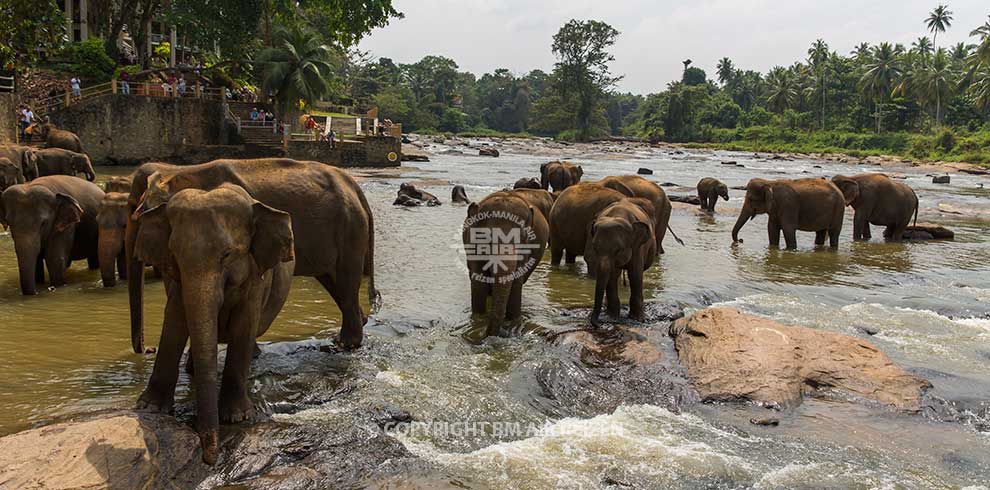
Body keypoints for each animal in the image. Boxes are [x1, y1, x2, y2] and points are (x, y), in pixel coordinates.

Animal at [125, 159, 380, 354]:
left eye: (135, 211)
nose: (149, 349)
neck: (179, 170)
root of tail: (355, 187)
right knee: (333, 282)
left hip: (350, 231)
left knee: (345, 281)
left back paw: (342, 345)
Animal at [136, 183, 298, 464]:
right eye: (174, 255)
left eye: (227, 254)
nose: (209, 459)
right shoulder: (177, 282)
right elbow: (175, 321)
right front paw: (150, 408)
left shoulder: (254, 277)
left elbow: (244, 326)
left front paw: (236, 417)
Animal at [464, 189, 552, 336]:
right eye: (486, 237)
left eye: (522, 238)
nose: (484, 333)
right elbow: (478, 281)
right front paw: (478, 319)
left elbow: (516, 280)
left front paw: (513, 322)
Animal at [588, 197, 660, 328]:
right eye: (595, 248)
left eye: (618, 250)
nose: (599, 324)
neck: (617, 215)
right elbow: (612, 275)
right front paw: (612, 317)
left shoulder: (637, 247)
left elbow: (635, 274)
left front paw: (638, 319)